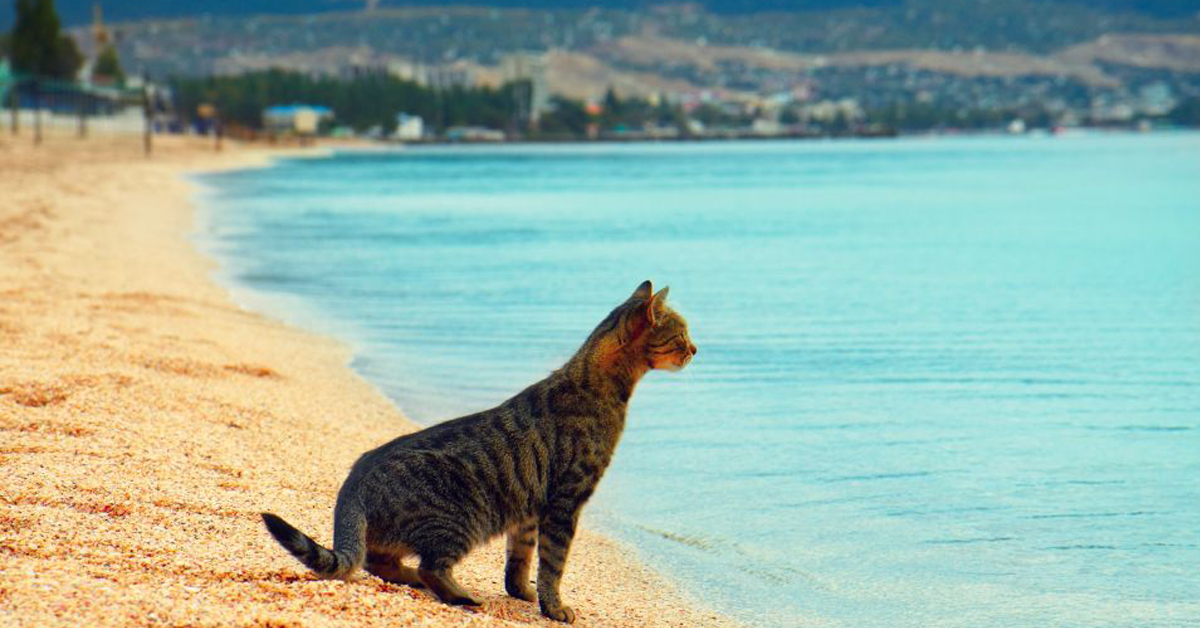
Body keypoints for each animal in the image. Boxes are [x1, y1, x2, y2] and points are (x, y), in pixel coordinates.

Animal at [260, 280, 696, 624]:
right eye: (681, 334)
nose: (695, 349)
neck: (600, 384)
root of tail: (353, 483)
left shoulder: (530, 510)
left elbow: (520, 558)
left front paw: (523, 593)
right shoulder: (565, 502)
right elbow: (553, 564)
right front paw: (554, 608)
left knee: (378, 560)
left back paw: (415, 580)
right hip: (463, 518)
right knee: (428, 566)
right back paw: (460, 595)